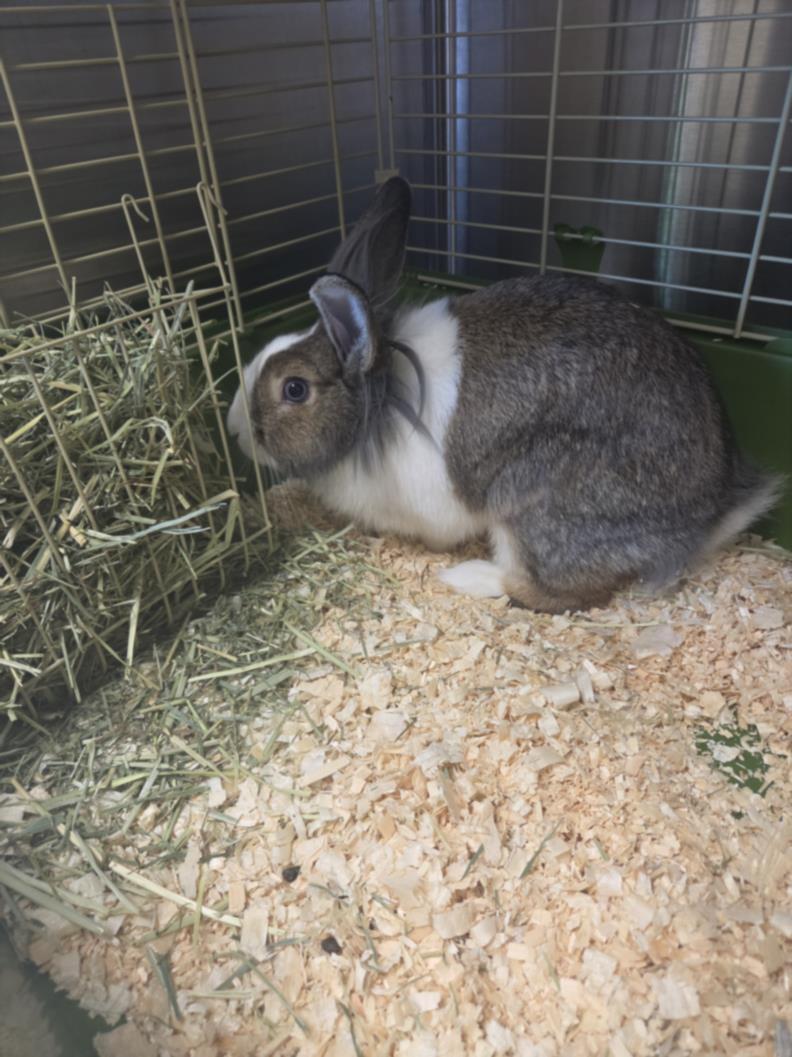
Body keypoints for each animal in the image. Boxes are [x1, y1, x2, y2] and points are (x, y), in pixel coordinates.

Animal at [227, 176, 781, 612]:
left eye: (294, 389)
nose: (234, 430)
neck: (378, 405)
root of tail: (709, 516)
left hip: (536, 508)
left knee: (559, 593)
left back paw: (469, 577)